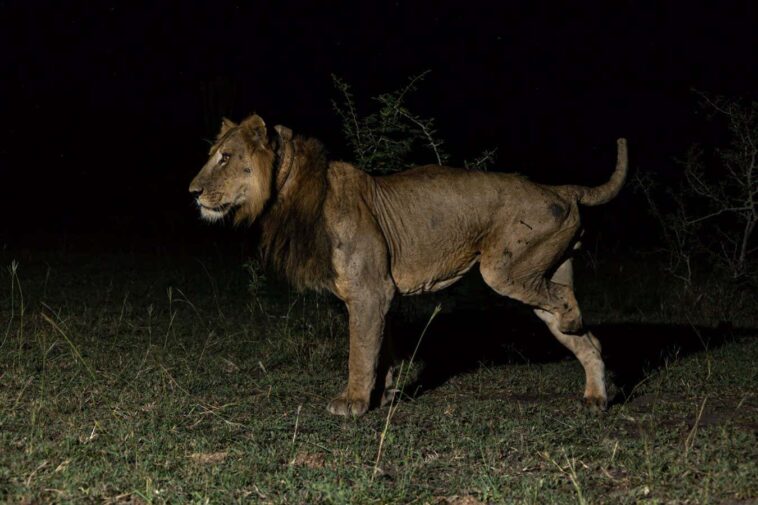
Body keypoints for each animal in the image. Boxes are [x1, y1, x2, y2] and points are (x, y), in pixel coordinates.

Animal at [189, 114, 628, 416]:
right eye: (213, 156)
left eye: (225, 158)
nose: (192, 192)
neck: (289, 193)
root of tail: (559, 188)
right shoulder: (378, 294)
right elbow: (380, 348)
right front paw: (382, 395)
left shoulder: (370, 291)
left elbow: (360, 351)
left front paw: (352, 401)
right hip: (540, 272)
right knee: (588, 339)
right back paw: (596, 396)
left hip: (505, 269)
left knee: (566, 302)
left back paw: (575, 325)